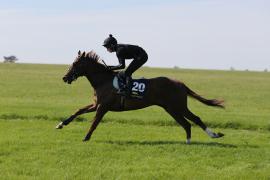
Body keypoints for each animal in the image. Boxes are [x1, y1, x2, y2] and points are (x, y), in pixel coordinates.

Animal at [56, 50, 225, 143]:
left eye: (75, 64)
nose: (65, 77)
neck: (103, 80)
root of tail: (180, 83)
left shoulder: (103, 107)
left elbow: (94, 123)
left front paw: (86, 137)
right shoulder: (96, 105)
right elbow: (78, 111)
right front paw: (60, 124)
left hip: (177, 106)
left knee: (195, 119)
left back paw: (212, 135)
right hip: (171, 108)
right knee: (187, 123)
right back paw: (191, 140)